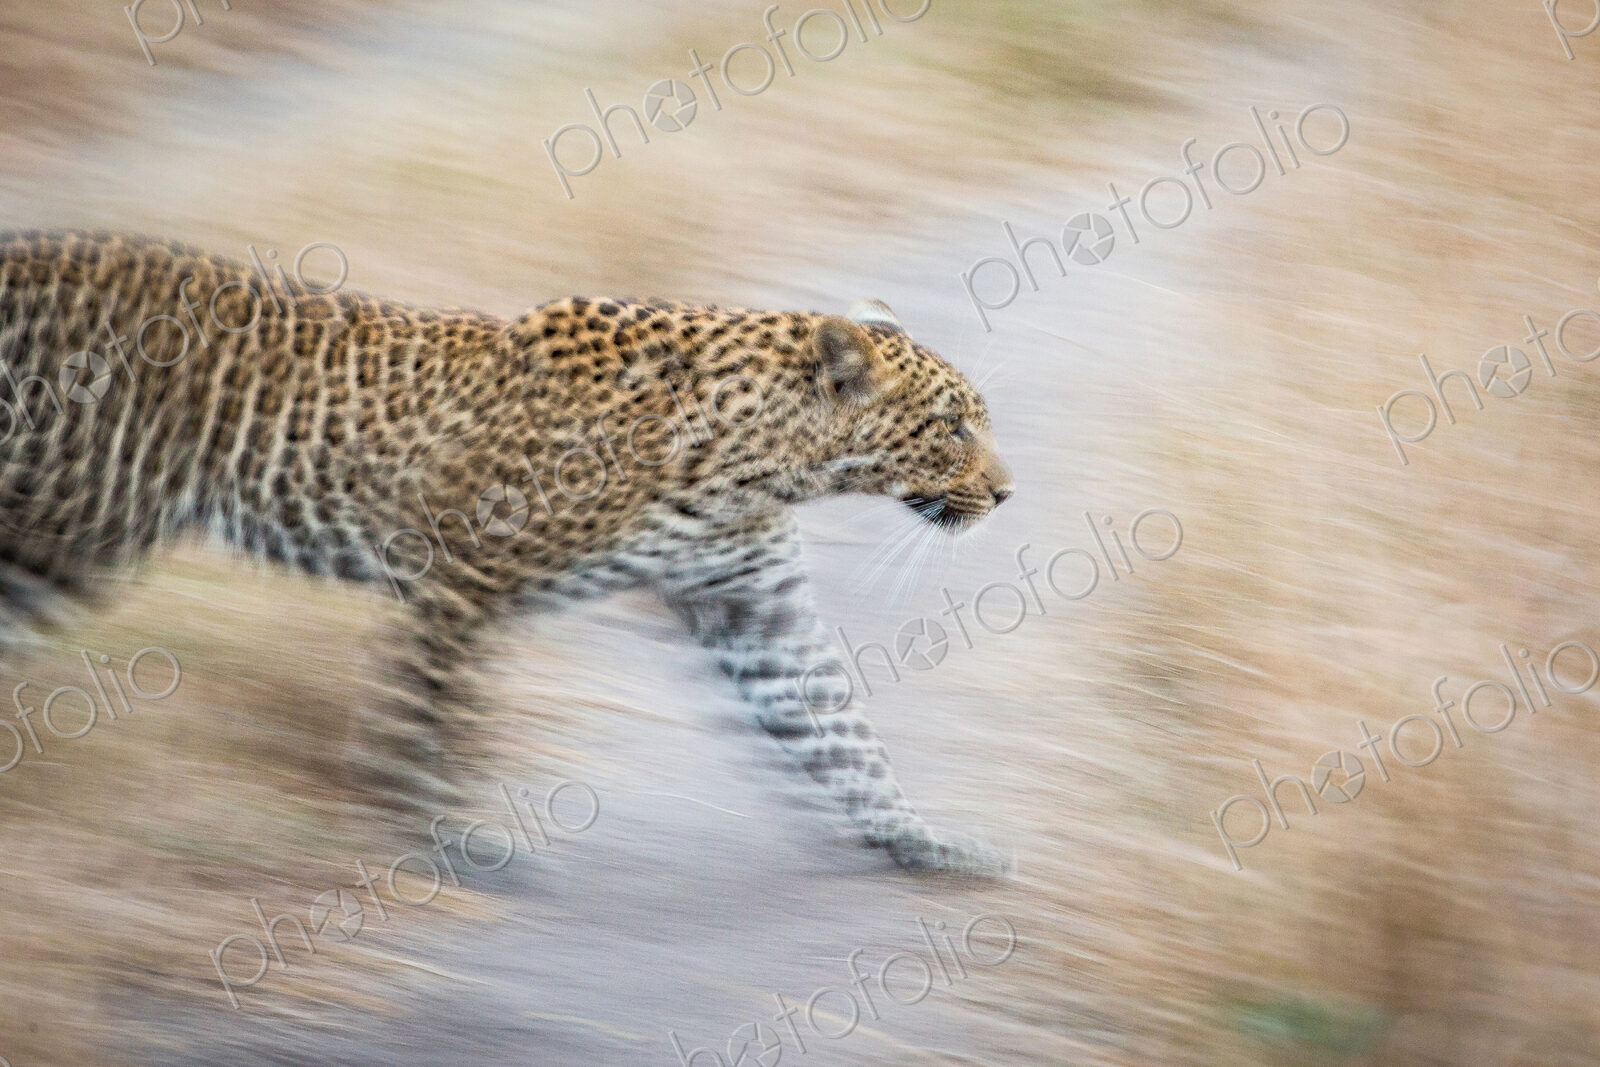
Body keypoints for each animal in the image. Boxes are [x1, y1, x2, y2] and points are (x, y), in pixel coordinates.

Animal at [0, 230, 1015, 874]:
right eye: (952, 426)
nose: (1008, 494)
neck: (761, 464)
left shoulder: (750, 604)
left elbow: (840, 736)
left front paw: (921, 840)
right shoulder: (459, 581)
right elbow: (425, 718)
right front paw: (437, 835)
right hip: (69, 520)